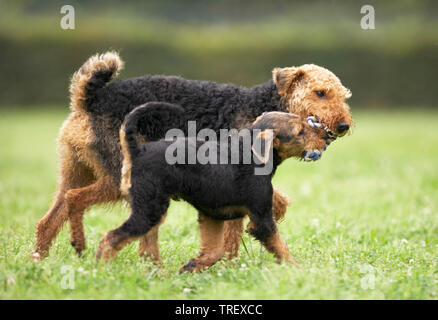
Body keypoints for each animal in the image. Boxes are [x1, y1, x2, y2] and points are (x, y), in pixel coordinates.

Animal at [96, 104, 328, 272]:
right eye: (300, 131)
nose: (325, 135)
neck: (251, 154)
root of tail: (138, 151)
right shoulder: (262, 219)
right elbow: (281, 248)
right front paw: (298, 271)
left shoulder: (212, 216)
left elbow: (214, 251)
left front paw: (192, 266)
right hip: (149, 209)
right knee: (110, 239)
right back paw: (102, 270)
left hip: (153, 208)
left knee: (145, 246)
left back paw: (158, 272)